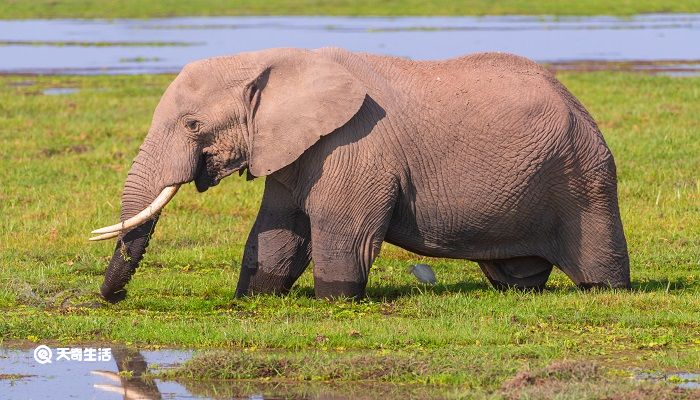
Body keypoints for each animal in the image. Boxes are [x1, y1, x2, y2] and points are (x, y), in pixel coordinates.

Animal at [90, 47, 632, 304]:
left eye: (192, 125)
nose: (112, 300)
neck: (273, 61)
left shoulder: (353, 147)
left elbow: (341, 233)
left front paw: (335, 303)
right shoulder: (292, 150)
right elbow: (277, 235)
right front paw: (252, 298)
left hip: (582, 179)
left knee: (598, 268)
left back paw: (604, 289)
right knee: (517, 275)